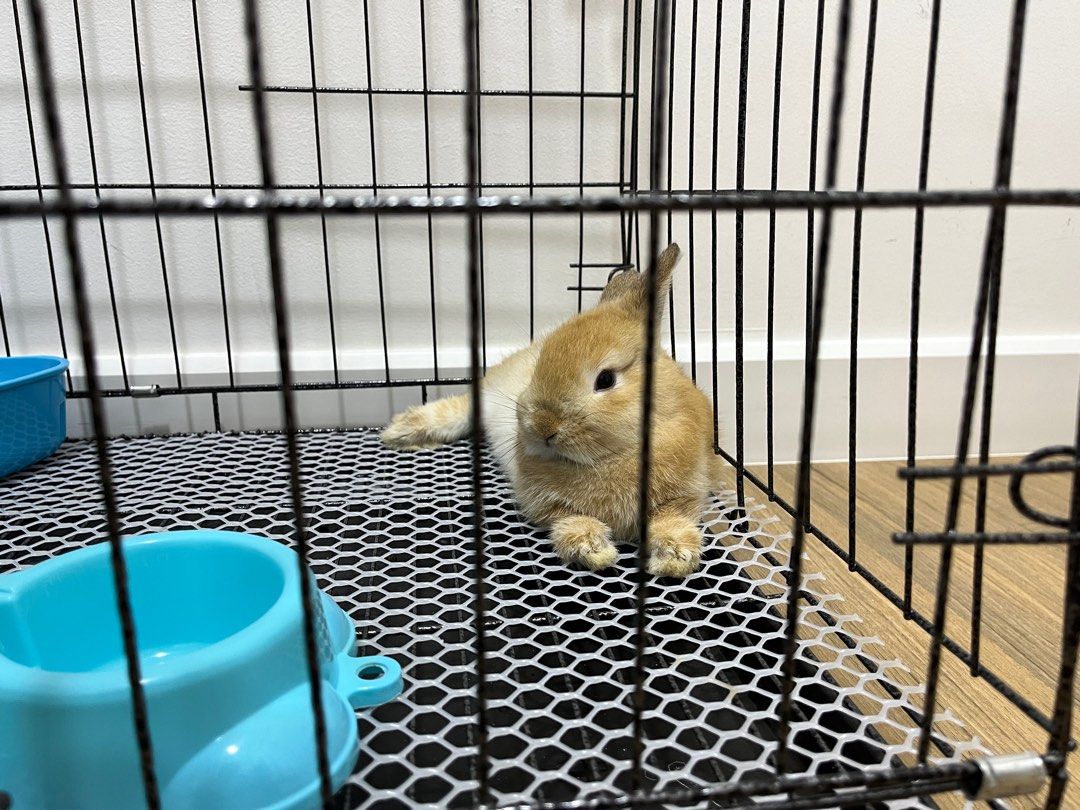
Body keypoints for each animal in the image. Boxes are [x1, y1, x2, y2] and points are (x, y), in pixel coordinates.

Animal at [381, 243, 718, 578]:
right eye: (541, 363)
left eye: (606, 379)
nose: (541, 426)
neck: (613, 456)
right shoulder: (543, 502)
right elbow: (569, 520)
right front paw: (593, 550)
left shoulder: (688, 493)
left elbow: (671, 519)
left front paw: (675, 557)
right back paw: (403, 431)